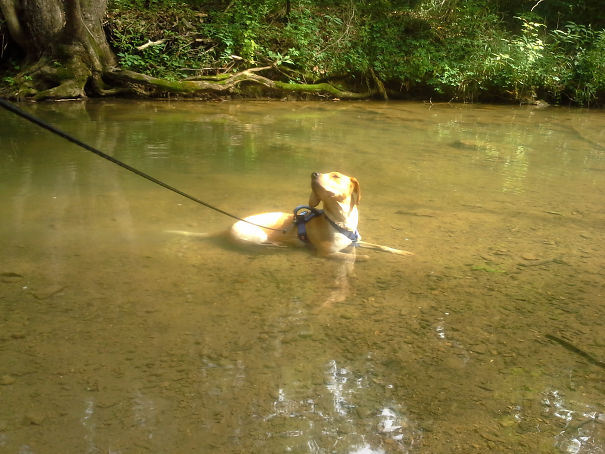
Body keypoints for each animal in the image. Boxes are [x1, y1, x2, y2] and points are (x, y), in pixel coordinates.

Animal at [229, 172, 412, 260]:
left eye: (336, 175)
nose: (314, 173)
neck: (340, 221)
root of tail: (229, 229)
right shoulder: (326, 253)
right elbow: (353, 257)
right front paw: (363, 257)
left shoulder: (355, 242)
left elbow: (382, 246)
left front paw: (404, 252)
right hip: (257, 235)